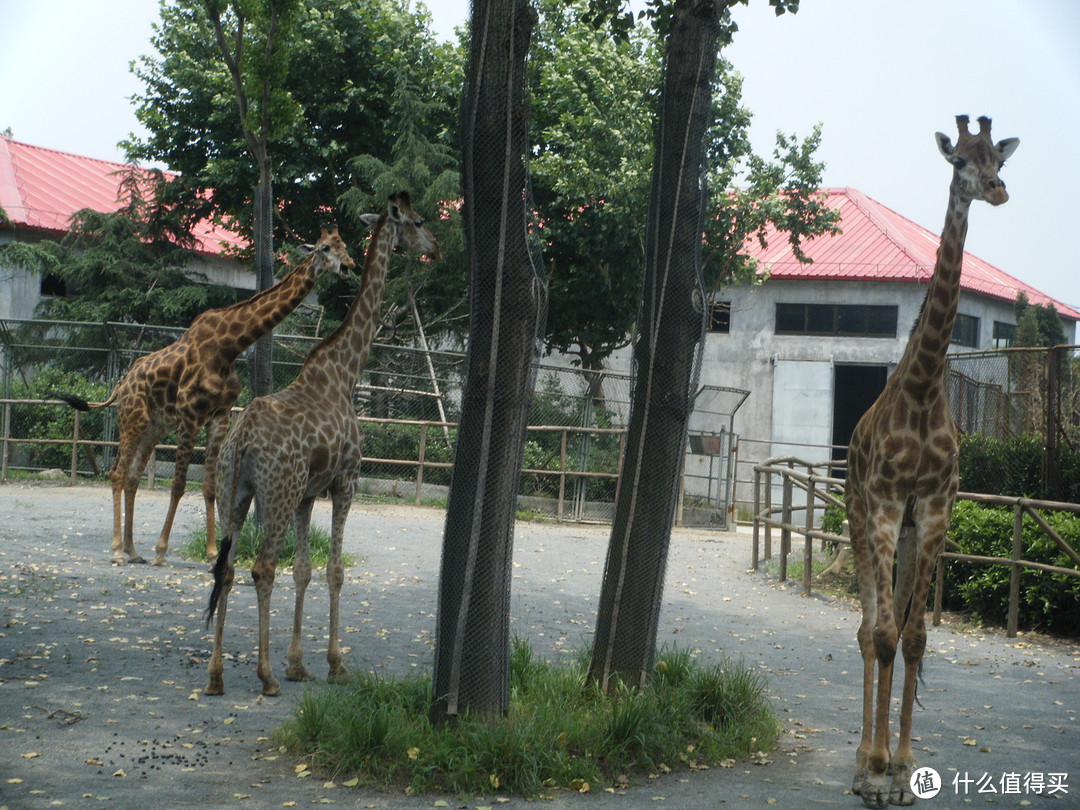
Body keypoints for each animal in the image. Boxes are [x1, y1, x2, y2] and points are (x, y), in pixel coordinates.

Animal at [54, 226, 356, 570]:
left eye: (345, 246)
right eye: (325, 248)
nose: (349, 266)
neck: (229, 346)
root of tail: (121, 384)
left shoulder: (218, 417)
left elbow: (210, 487)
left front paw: (212, 553)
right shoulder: (190, 415)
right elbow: (178, 484)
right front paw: (161, 551)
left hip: (154, 426)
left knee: (131, 477)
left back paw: (133, 550)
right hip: (133, 419)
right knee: (116, 473)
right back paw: (118, 550)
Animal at [203, 192, 438, 699]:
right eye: (416, 222)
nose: (435, 247)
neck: (345, 372)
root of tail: (243, 437)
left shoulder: (307, 494)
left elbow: (304, 571)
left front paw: (298, 664)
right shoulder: (345, 481)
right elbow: (334, 571)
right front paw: (333, 664)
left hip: (237, 491)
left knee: (226, 568)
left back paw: (215, 676)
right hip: (275, 491)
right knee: (261, 568)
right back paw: (266, 677)